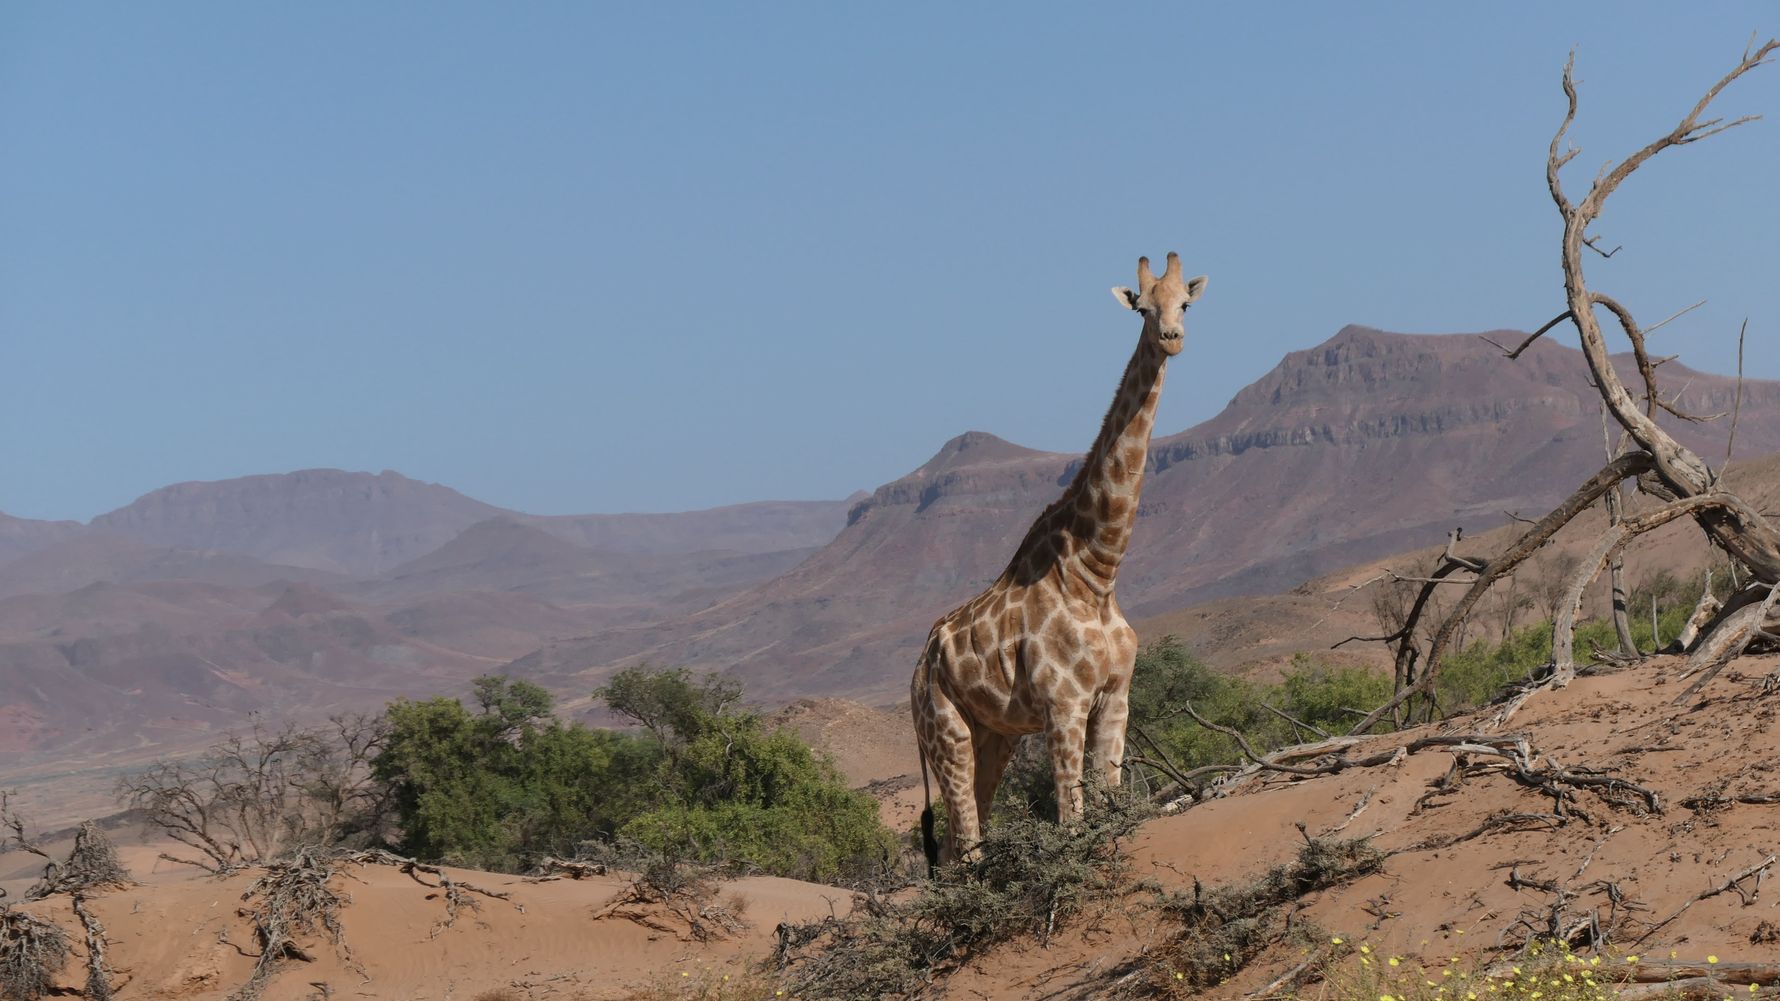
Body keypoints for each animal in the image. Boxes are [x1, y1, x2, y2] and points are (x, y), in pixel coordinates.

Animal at [911, 252, 1207, 870]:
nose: (1171, 338)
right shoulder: (1064, 704)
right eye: (1142, 309)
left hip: (994, 735)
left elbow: (1111, 803)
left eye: (1185, 304)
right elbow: (1072, 821)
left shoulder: (1115, 698)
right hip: (944, 729)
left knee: (954, 843)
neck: (1098, 573)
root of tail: (915, 671)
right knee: (965, 845)